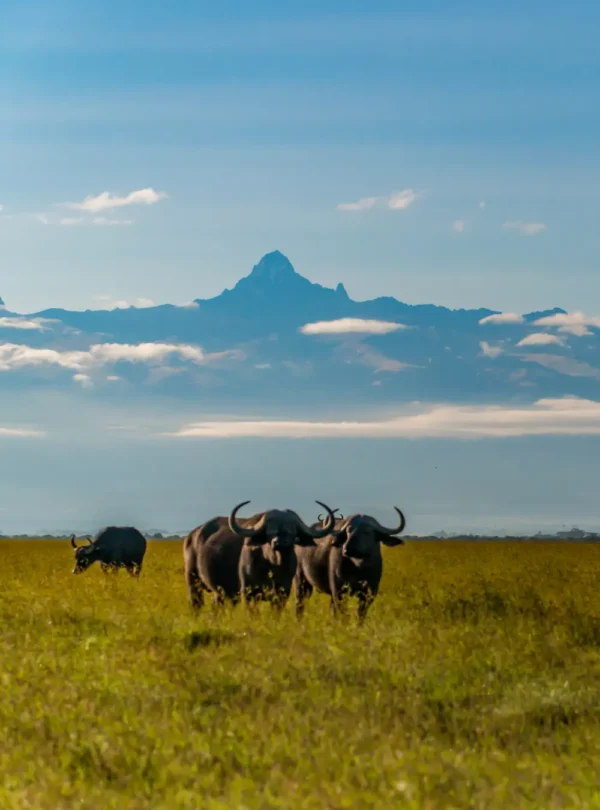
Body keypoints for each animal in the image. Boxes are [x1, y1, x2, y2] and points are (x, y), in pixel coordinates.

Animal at [183, 502, 338, 608]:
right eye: (270, 531)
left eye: (291, 530)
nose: (279, 542)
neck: (273, 565)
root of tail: (192, 535)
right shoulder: (248, 592)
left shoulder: (283, 592)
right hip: (193, 581)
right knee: (196, 604)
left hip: (220, 592)